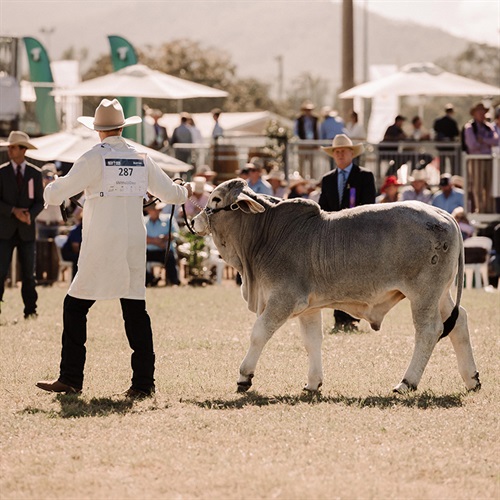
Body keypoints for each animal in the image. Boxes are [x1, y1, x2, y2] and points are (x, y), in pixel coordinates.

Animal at [192, 178, 480, 392]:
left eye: (216, 199)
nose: (194, 221)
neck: (265, 234)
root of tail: (443, 214)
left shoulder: (283, 299)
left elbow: (259, 333)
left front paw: (245, 377)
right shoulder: (308, 308)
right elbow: (312, 342)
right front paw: (313, 383)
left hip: (423, 294)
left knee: (429, 331)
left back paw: (406, 383)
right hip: (440, 294)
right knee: (459, 322)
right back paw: (472, 379)